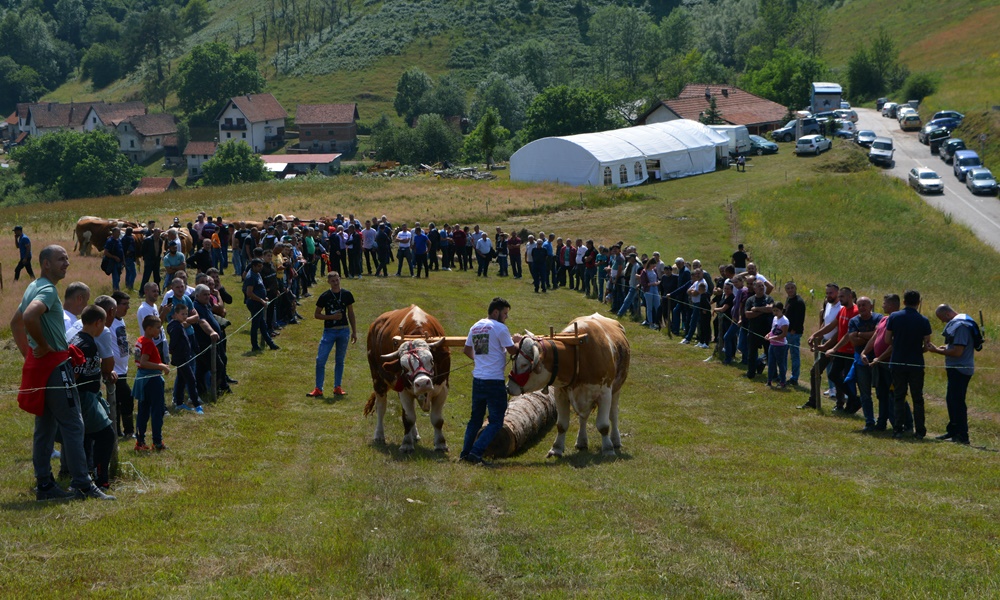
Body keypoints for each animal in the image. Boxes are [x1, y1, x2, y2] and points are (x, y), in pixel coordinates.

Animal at [364, 308, 450, 452]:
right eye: (404, 367)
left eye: (431, 360)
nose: (422, 383)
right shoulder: (403, 390)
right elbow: (408, 418)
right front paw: (406, 444)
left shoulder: (442, 389)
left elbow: (437, 419)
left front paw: (441, 444)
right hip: (377, 379)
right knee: (381, 407)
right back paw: (379, 435)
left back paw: (414, 434)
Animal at [512, 314, 628, 454]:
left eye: (524, 364)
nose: (509, 386)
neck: (578, 355)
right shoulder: (560, 393)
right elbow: (562, 425)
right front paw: (556, 448)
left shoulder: (604, 394)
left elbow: (603, 425)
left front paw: (608, 449)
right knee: (583, 417)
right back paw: (581, 441)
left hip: (616, 389)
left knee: (613, 415)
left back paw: (615, 440)